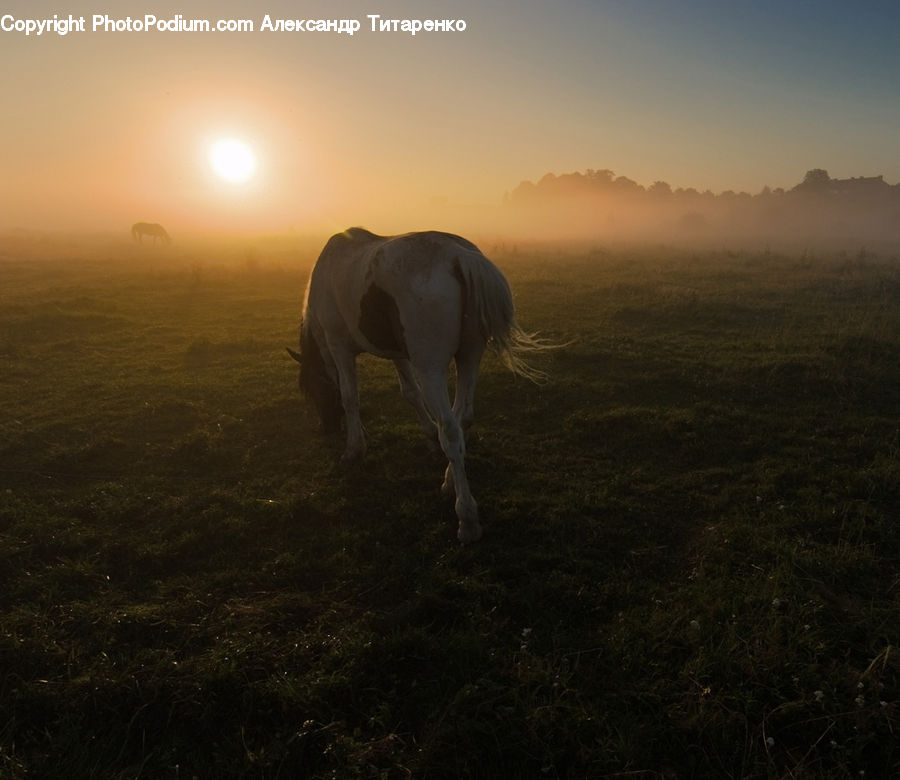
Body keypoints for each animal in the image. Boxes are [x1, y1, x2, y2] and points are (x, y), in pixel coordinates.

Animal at [288, 225, 556, 544]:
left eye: (314, 393)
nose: (327, 428)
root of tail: (459, 256)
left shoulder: (338, 346)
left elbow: (349, 397)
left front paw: (354, 448)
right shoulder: (397, 353)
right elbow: (410, 393)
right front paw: (427, 436)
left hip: (432, 369)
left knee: (450, 429)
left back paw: (466, 518)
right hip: (469, 356)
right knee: (463, 417)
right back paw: (449, 481)